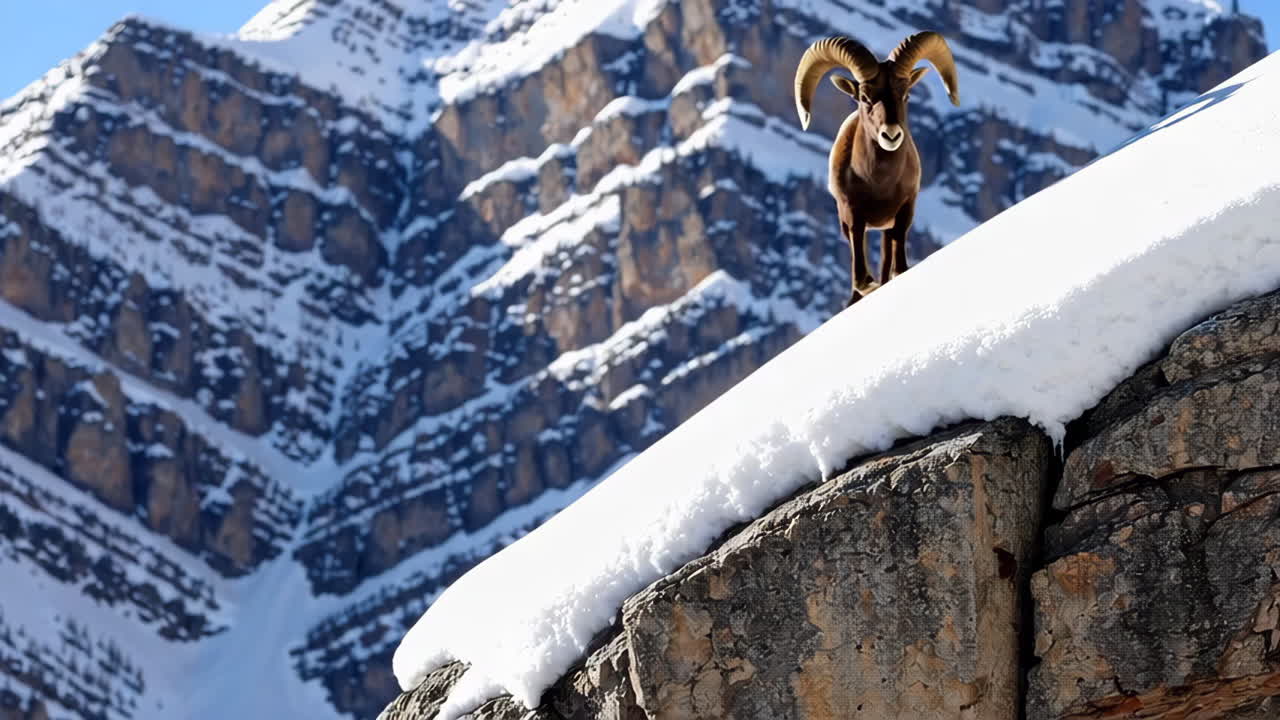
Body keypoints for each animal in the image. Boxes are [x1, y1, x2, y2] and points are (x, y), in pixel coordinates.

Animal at [793, 32, 960, 306]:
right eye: (864, 97)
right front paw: (867, 288)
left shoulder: (904, 211)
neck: (879, 184)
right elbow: (861, 275)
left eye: (906, 95)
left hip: (886, 230)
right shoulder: (852, 216)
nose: (890, 136)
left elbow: (899, 267)